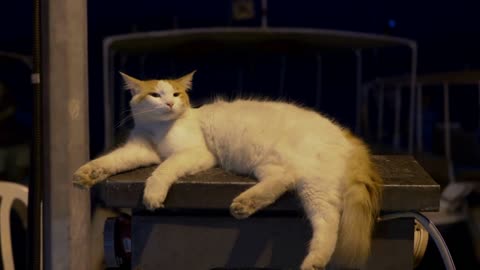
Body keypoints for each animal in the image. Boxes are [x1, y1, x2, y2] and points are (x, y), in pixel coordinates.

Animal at [74, 70, 382, 268]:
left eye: (176, 93)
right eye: (155, 95)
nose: (170, 103)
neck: (159, 130)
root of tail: (347, 136)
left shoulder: (194, 154)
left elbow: (163, 170)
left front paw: (153, 194)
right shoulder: (138, 151)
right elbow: (110, 161)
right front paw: (85, 175)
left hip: (314, 185)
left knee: (328, 223)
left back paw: (313, 262)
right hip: (274, 168)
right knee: (284, 183)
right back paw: (244, 205)